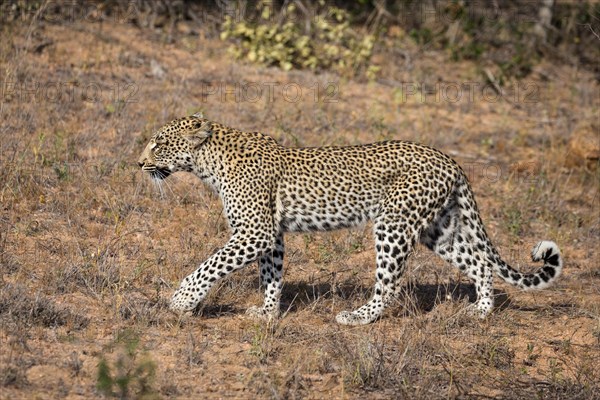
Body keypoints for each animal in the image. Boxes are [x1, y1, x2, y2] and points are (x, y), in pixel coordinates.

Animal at [138, 112, 564, 324]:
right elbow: (271, 275)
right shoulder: (271, 235)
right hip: (438, 228)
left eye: (158, 144)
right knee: (479, 263)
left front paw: (181, 301)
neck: (208, 162)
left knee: (390, 284)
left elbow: (208, 266)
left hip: (393, 224)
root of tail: (449, 159)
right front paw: (268, 312)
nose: (139, 163)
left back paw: (359, 317)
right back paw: (480, 311)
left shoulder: (255, 232)